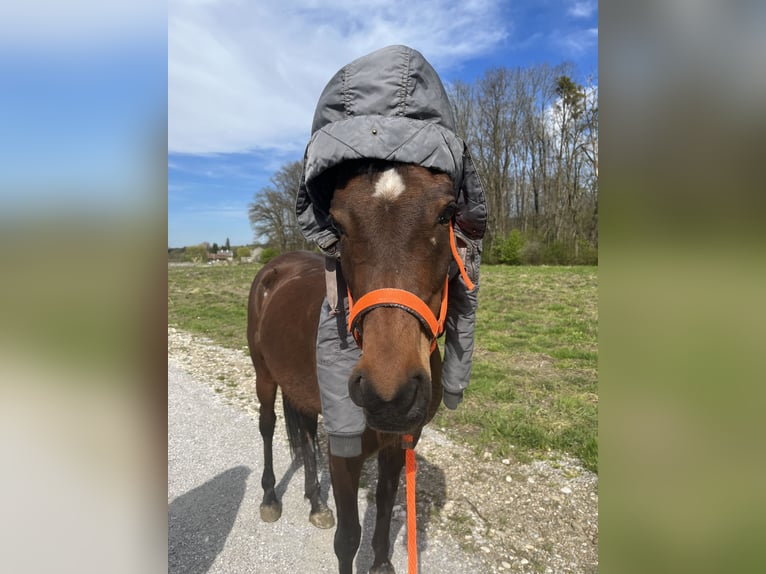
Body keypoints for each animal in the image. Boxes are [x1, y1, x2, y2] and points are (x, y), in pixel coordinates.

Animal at [249, 161, 460, 574]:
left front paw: (381, 563)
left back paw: (316, 503)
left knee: (307, 434)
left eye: (446, 214)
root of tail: (274, 268)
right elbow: (348, 538)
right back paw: (269, 498)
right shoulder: (344, 454)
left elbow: (384, 511)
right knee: (267, 426)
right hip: (264, 376)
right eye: (339, 224)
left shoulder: (398, 443)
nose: (389, 393)